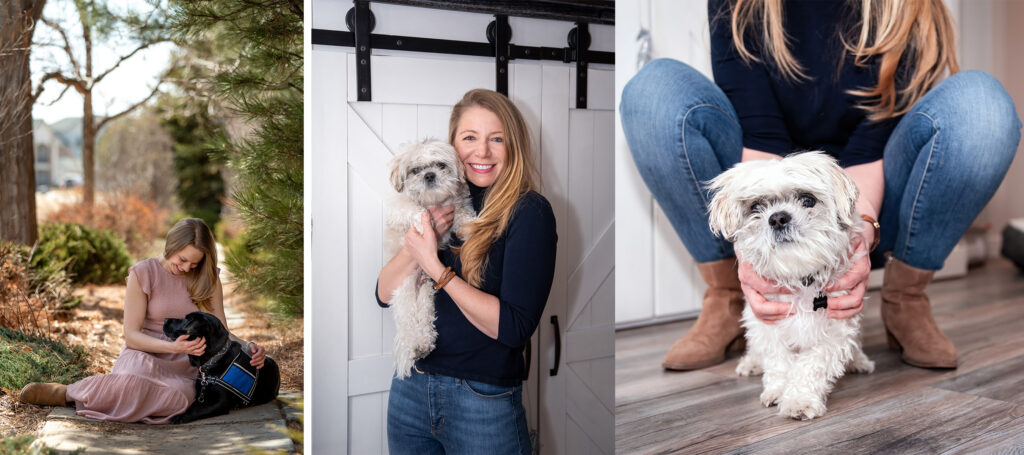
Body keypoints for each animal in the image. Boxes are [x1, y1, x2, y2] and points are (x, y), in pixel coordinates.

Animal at [385, 137, 477, 377]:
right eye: (415, 170)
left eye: (440, 165)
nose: (429, 175)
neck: (434, 201)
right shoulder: (398, 207)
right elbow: (412, 209)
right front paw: (422, 220)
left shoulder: (458, 206)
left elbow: (464, 216)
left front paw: (473, 228)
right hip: (406, 292)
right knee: (408, 324)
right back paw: (414, 344)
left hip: (427, 293)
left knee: (425, 322)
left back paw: (423, 343)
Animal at [708, 151, 876, 420]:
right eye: (756, 207)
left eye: (808, 200)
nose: (777, 218)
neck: (799, 275)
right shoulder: (767, 321)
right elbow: (778, 363)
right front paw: (777, 391)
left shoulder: (836, 327)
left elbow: (811, 365)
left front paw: (799, 399)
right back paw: (751, 362)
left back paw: (858, 361)